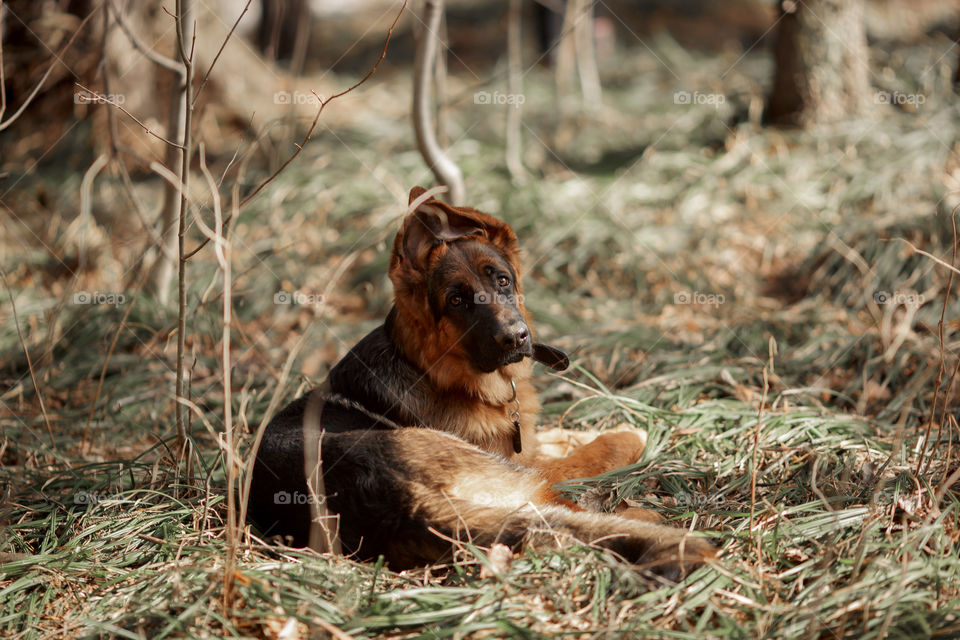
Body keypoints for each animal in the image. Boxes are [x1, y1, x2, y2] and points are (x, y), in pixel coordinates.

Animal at [248, 188, 712, 576]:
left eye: (502, 280)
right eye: (457, 301)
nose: (516, 338)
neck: (434, 371)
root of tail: (399, 504)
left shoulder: (519, 442)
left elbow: (557, 434)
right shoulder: (518, 462)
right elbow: (586, 453)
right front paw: (629, 433)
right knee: (559, 502)